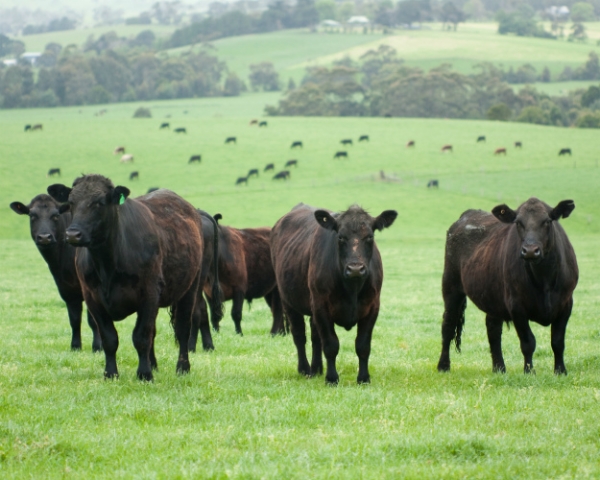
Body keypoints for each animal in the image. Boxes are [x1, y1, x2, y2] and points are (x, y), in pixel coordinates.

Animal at [9, 195, 102, 352]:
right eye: (32, 215)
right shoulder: (66, 289)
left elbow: (93, 320)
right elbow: (74, 319)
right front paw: (75, 346)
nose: (44, 237)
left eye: (56, 215)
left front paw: (98, 347)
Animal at [48, 174, 219, 380]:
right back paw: (154, 365)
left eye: (99, 203)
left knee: (183, 328)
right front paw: (111, 373)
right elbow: (109, 338)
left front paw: (144, 374)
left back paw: (182, 368)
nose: (73, 234)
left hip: (190, 288)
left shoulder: (149, 293)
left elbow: (141, 336)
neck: (107, 264)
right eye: (71, 202)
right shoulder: (92, 298)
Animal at [270, 202, 396, 386]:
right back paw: (305, 369)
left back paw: (317, 368)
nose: (355, 269)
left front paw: (363, 378)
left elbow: (363, 345)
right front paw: (332, 378)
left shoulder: (372, 307)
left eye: (370, 237)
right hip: (289, 301)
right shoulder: (321, 306)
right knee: (299, 336)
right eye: (340, 237)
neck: (352, 289)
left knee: (315, 337)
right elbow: (330, 345)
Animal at [438, 196, 580, 376]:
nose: (530, 251)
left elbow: (558, 341)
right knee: (448, 325)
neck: (544, 280)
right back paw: (443, 366)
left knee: (493, 329)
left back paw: (499, 368)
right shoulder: (516, 306)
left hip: (492, 296)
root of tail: (467, 214)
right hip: (451, 285)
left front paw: (560, 371)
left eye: (547, 221)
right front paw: (529, 372)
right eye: (518, 222)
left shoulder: (566, 303)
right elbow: (528, 342)